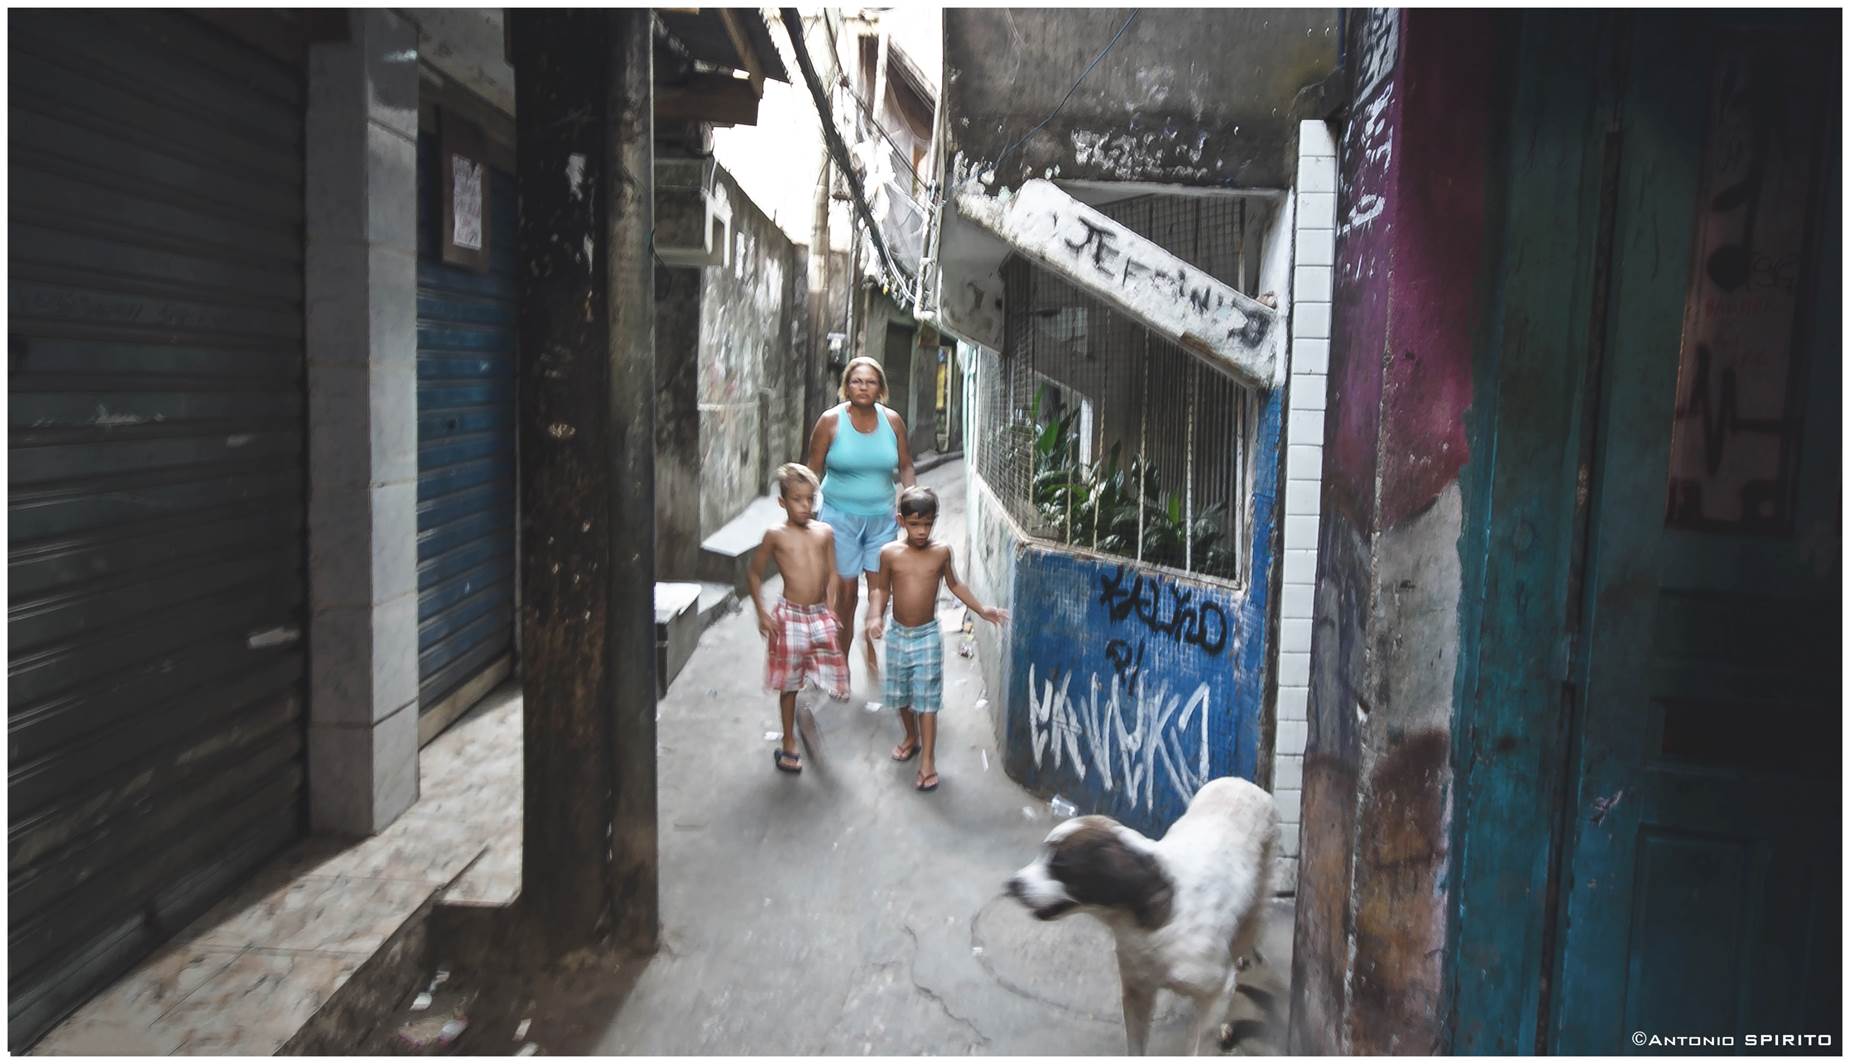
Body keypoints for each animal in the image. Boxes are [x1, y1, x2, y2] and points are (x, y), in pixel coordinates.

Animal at [1005, 777, 1279, 1055]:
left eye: (1059, 866)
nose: (1012, 885)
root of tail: (1241, 780)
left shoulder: (1217, 990)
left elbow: (1201, 1042)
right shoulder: (1137, 991)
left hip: (1254, 916)